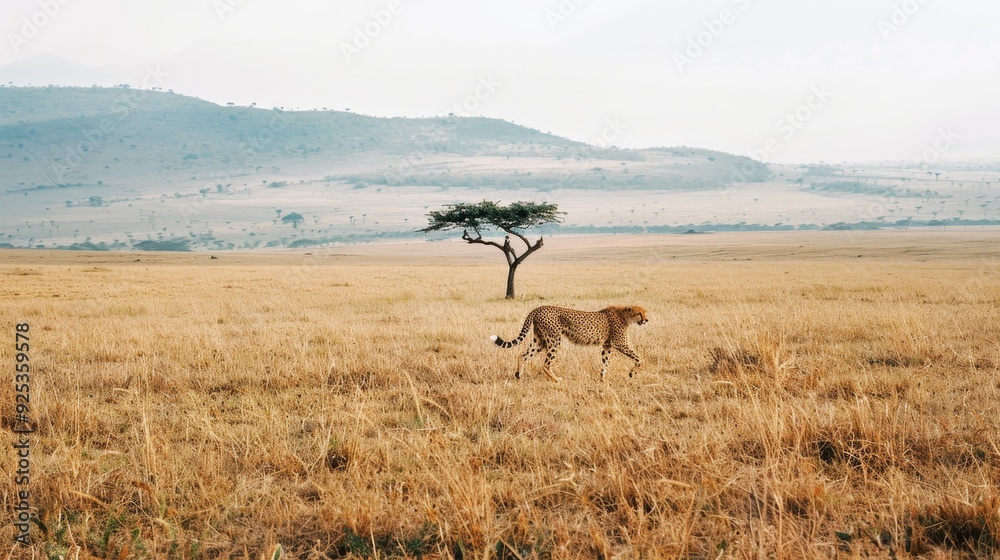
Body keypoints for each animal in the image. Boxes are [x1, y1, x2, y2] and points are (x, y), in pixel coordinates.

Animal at [490, 305, 648, 382]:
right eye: (639, 313)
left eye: (645, 312)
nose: (646, 320)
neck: (624, 315)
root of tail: (538, 308)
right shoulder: (620, 344)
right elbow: (640, 359)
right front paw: (631, 373)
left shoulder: (607, 346)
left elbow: (605, 362)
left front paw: (602, 378)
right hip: (554, 340)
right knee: (546, 364)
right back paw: (556, 379)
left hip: (540, 341)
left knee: (523, 355)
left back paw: (518, 374)